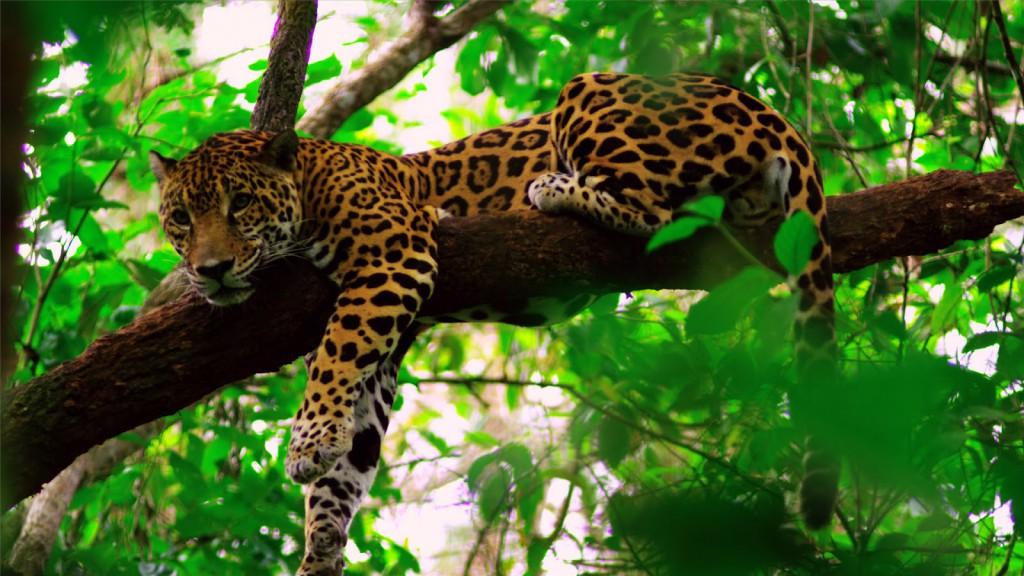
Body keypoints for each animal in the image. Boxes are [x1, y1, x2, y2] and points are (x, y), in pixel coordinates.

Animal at [150, 72, 835, 575]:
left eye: (241, 204)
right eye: (181, 218)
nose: (210, 270)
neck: (312, 183)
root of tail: (769, 112)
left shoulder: (392, 257)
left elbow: (334, 357)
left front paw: (307, 444)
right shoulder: (388, 334)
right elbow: (355, 439)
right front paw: (320, 544)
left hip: (590, 94)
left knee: (650, 209)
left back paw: (554, 188)